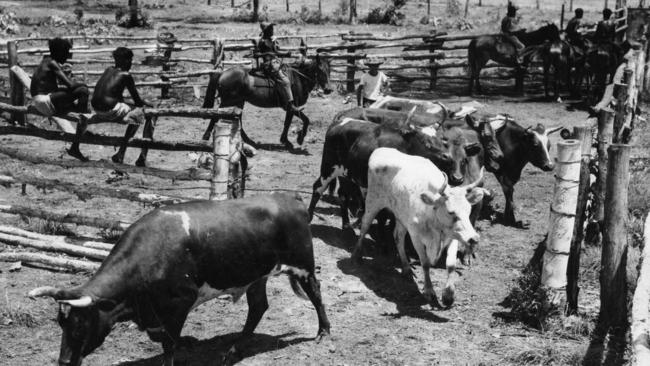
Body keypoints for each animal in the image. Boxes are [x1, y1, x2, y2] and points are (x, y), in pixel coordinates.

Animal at [29, 193, 330, 364]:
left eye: (79, 325)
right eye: (60, 323)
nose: (64, 361)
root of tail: (291, 200)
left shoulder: (180, 303)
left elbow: (169, 345)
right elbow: (162, 339)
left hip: (303, 264)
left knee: (315, 293)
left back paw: (323, 332)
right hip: (257, 276)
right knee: (258, 307)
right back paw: (233, 350)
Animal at [201, 55, 334, 150]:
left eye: (329, 70)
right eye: (320, 70)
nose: (328, 89)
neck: (299, 79)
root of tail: (223, 73)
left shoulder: (290, 109)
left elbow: (287, 123)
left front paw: (285, 140)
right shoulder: (291, 107)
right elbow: (305, 120)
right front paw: (299, 139)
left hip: (238, 102)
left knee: (237, 118)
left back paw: (249, 140)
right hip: (227, 101)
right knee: (216, 116)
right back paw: (206, 136)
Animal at [350, 147, 486, 308]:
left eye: (468, 210)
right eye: (450, 211)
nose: (473, 238)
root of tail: (381, 149)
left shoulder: (453, 236)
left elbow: (451, 265)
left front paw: (448, 295)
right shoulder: (416, 236)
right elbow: (425, 264)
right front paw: (429, 291)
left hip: (401, 215)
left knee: (398, 237)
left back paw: (406, 268)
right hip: (373, 200)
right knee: (365, 225)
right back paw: (356, 255)